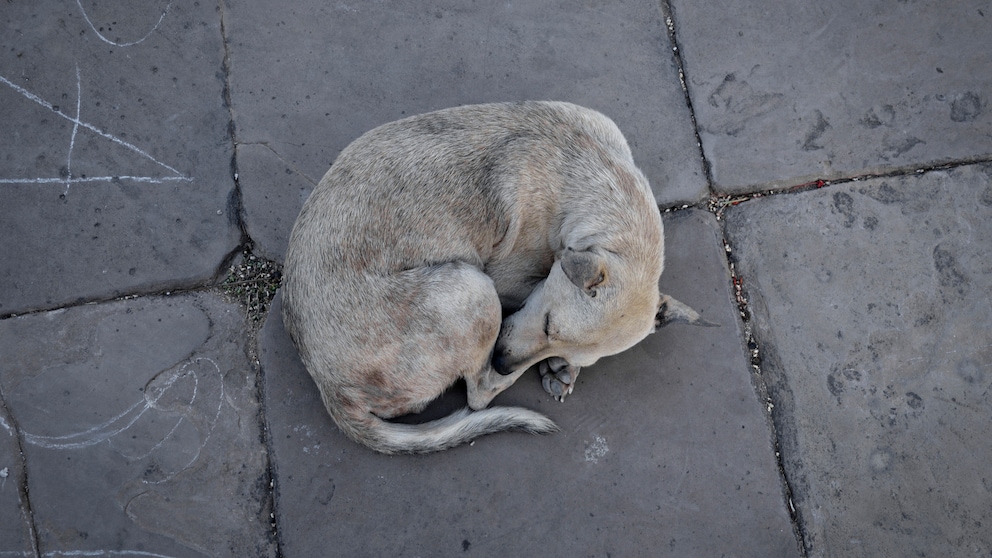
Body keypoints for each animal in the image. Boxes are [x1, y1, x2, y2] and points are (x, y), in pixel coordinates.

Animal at [280, 101, 712, 456]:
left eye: (554, 333)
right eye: (548, 323)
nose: (503, 361)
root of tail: (335, 393)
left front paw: (561, 368)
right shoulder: (507, 281)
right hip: (471, 289)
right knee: (478, 396)